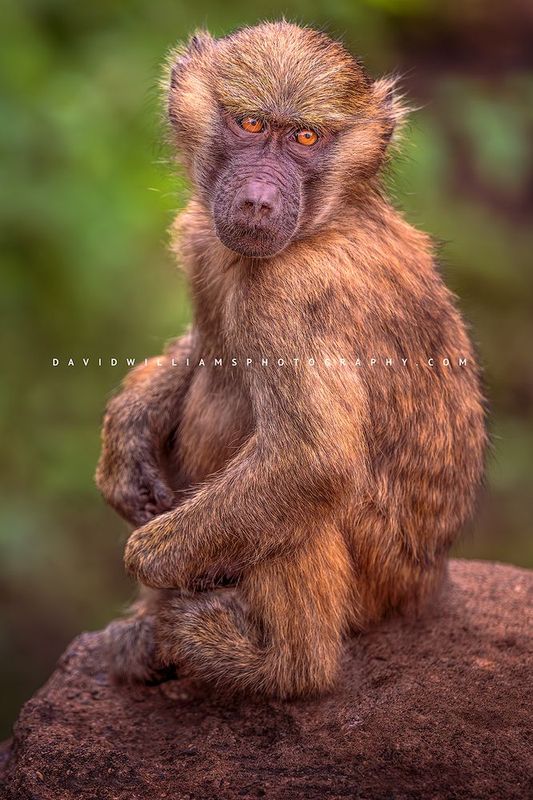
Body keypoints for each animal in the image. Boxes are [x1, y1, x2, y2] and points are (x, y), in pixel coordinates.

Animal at [95, 21, 487, 698]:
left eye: (306, 138)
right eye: (250, 124)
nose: (257, 201)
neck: (325, 220)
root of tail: (426, 585)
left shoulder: (290, 293)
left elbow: (313, 458)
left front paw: (149, 560)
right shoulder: (203, 240)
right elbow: (203, 345)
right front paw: (128, 436)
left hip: (374, 578)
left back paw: (277, 665)